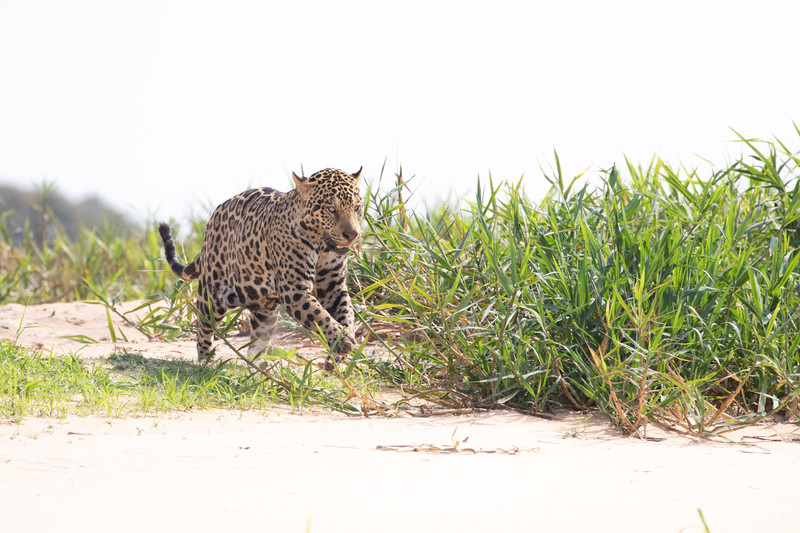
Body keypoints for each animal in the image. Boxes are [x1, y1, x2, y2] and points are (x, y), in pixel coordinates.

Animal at [158, 167, 363, 363]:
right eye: (331, 209)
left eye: (357, 207)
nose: (352, 234)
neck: (322, 247)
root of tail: (213, 217)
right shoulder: (294, 290)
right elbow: (318, 315)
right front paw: (343, 340)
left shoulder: (333, 288)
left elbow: (346, 314)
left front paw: (340, 349)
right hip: (212, 295)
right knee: (203, 326)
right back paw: (205, 360)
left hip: (265, 311)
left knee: (257, 342)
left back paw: (257, 368)